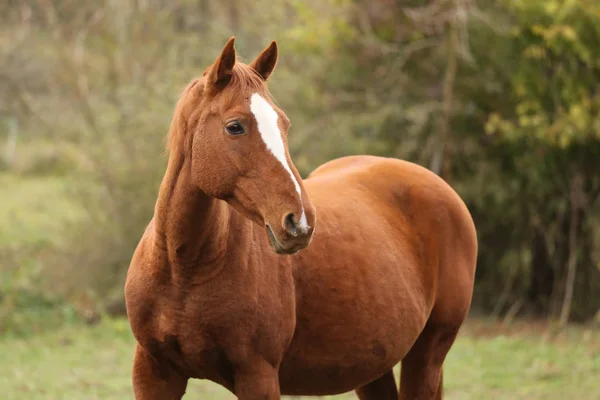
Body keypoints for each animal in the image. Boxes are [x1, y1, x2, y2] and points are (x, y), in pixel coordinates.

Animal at [125, 37, 478, 400]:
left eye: (284, 124)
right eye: (235, 126)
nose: (300, 222)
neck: (183, 270)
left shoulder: (258, 377)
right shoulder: (154, 375)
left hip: (427, 354)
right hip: (373, 366)